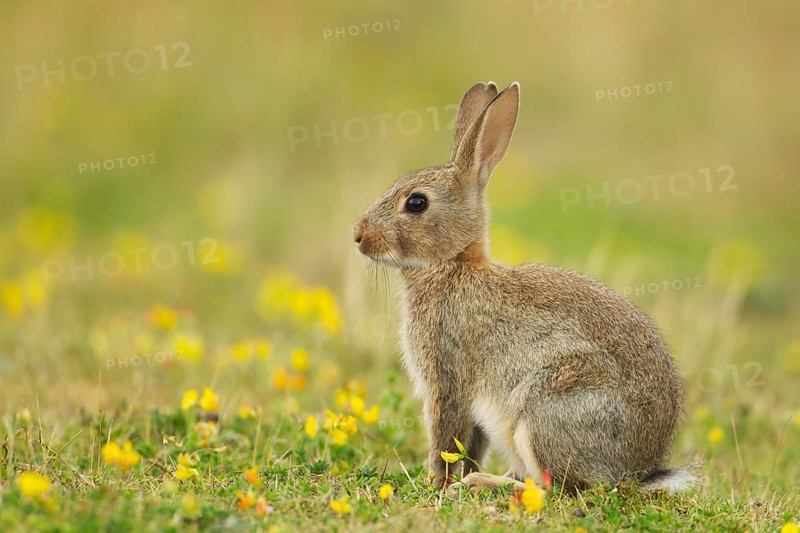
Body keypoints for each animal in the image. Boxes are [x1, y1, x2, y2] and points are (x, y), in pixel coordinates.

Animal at [352, 81, 700, 493]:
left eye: (416, 203)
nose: (358, 236)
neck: (451, 264)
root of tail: (638, 471)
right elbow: (471, 444)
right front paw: (452, 479)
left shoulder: (447, 378)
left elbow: (445, 437)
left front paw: (437, 483)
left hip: (543, 410)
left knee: (556, 488)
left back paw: (482, 484)